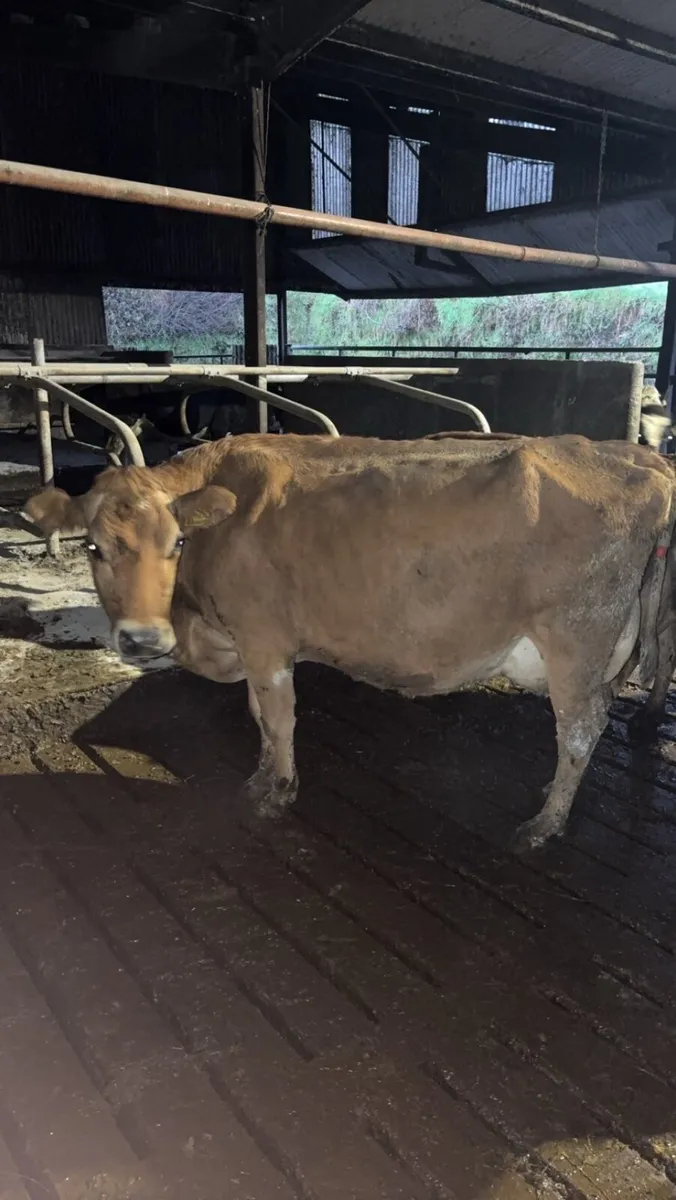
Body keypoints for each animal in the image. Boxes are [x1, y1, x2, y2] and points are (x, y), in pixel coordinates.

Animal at [25, 431, 676, 852]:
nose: (141, 639)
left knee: (581, 732)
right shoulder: (253, 643)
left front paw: (276, 790)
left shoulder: (264, 639)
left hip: (577, 645)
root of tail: (640, 464)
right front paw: (262, 775)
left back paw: (544, 824)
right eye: (92, 547)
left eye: (177, 542)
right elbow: (259, 717)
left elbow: (279, 718)